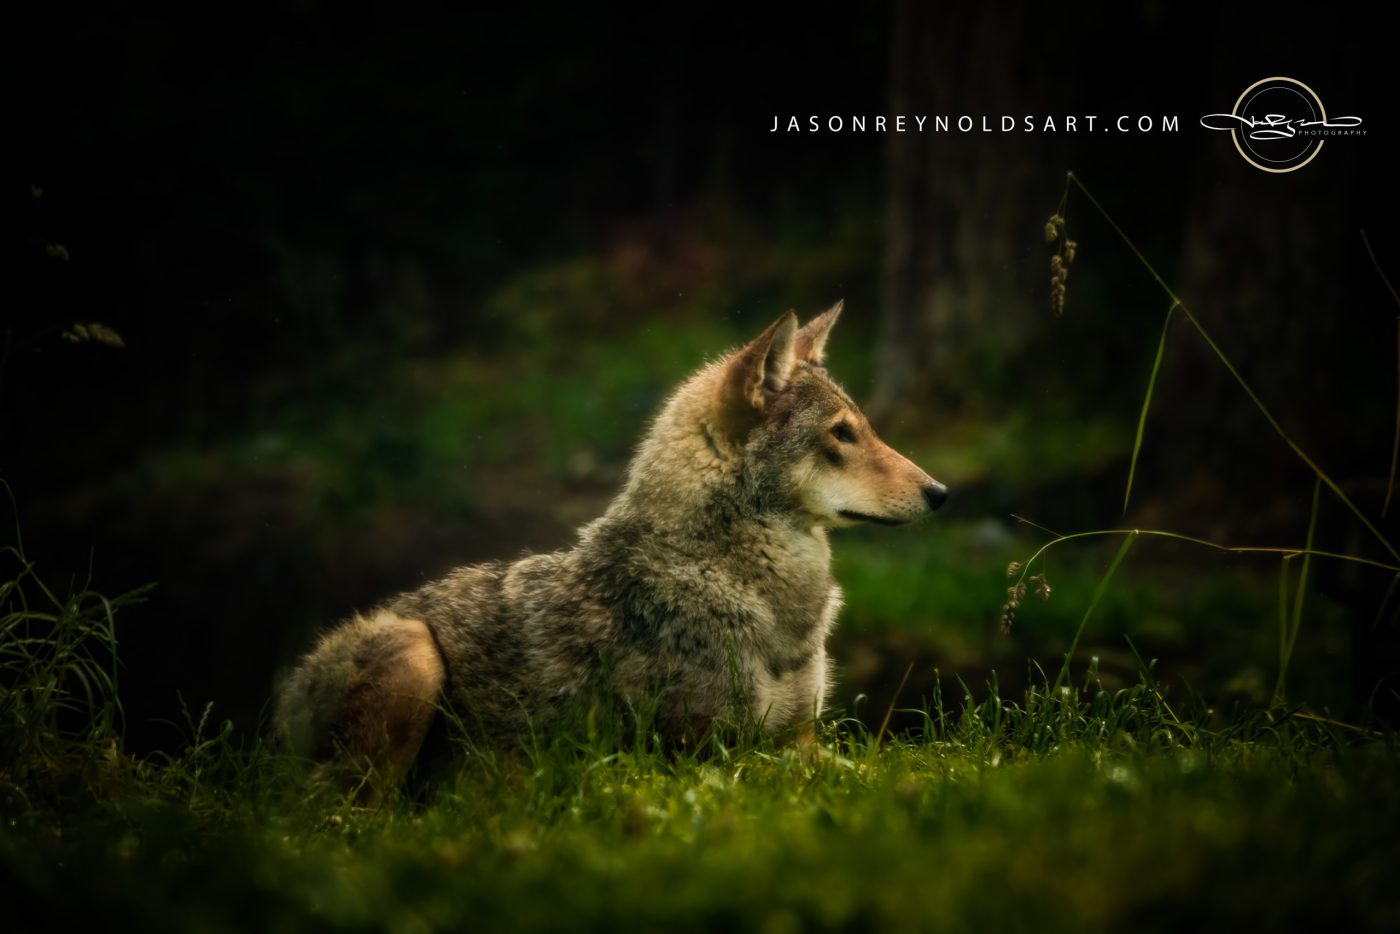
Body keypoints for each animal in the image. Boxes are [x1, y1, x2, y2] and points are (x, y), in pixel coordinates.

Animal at [276, 304, 946, 792]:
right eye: (842, 435)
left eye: (864, 429)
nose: (941, 493)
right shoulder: (709, 760)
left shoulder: (800, 740)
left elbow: (881, 772)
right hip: (414, 657)